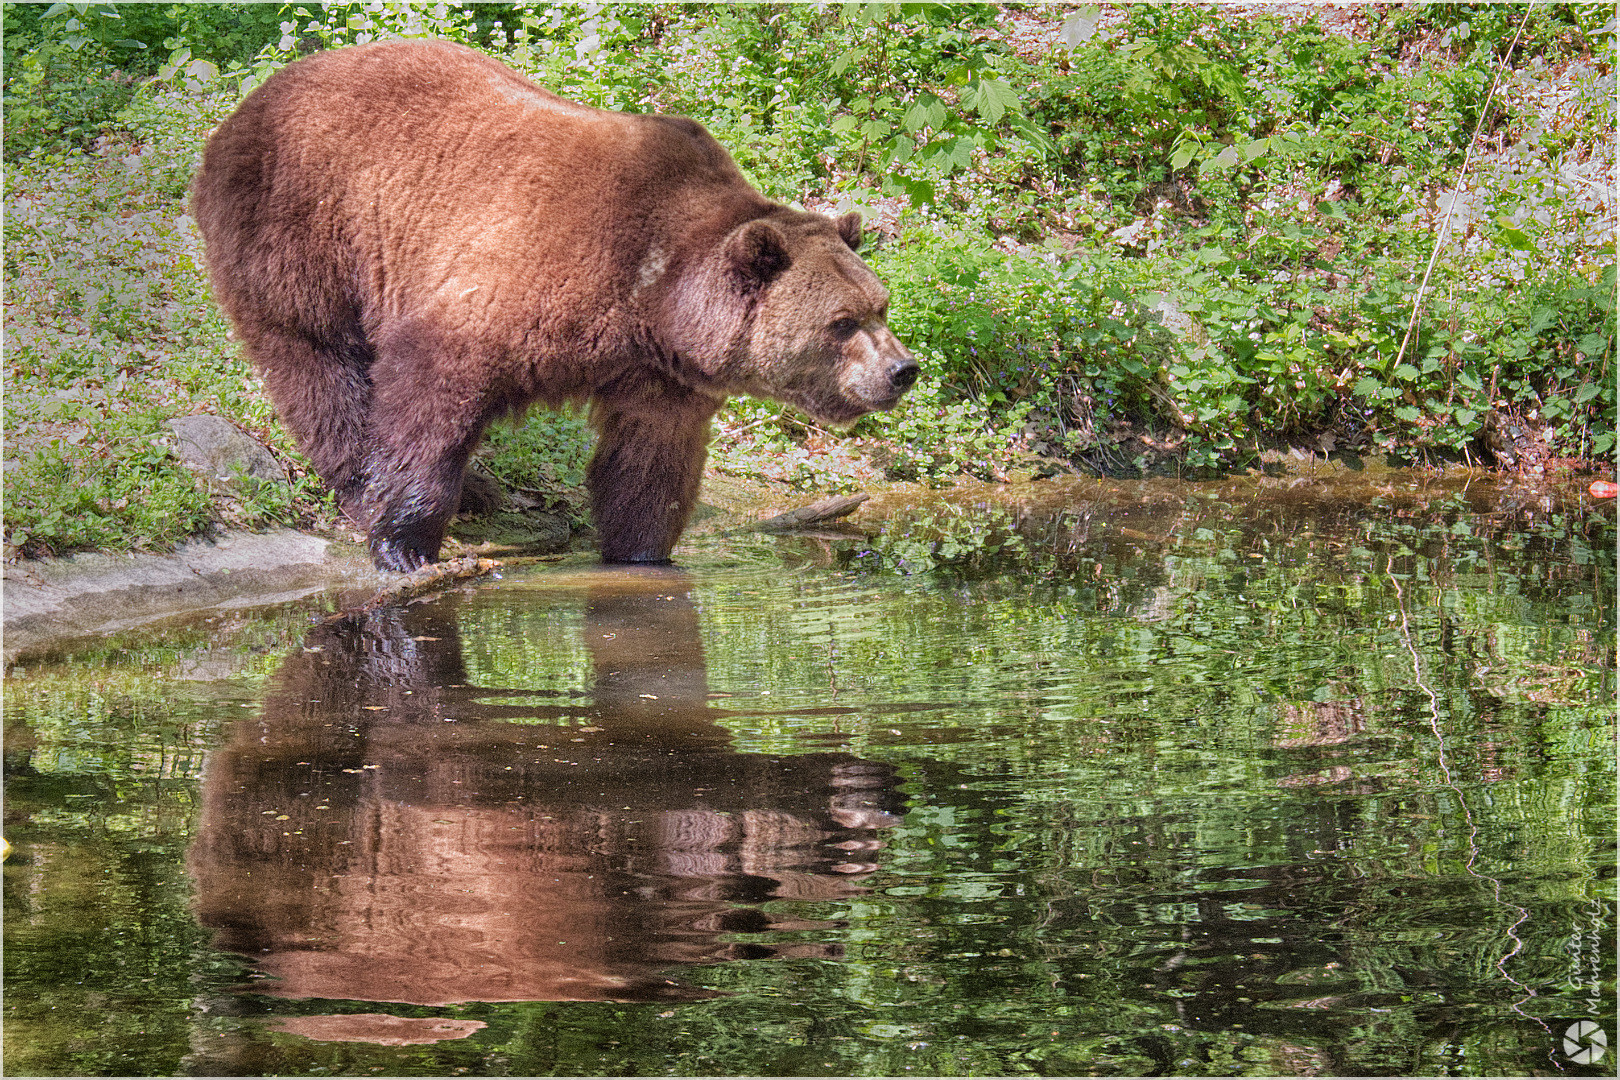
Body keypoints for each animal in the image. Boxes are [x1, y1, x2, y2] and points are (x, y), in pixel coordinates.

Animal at [192, 38, 913, 569]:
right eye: (842, 322)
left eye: (882, 306)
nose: (903, 370)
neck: (653, 298)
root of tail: (248, 104)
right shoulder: (520, 274)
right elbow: (431, 392)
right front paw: (404, 542)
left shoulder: (659, 376)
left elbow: (648, 465)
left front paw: (642, 551)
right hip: (304, 226)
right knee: (318, 362)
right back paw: (366, 483)